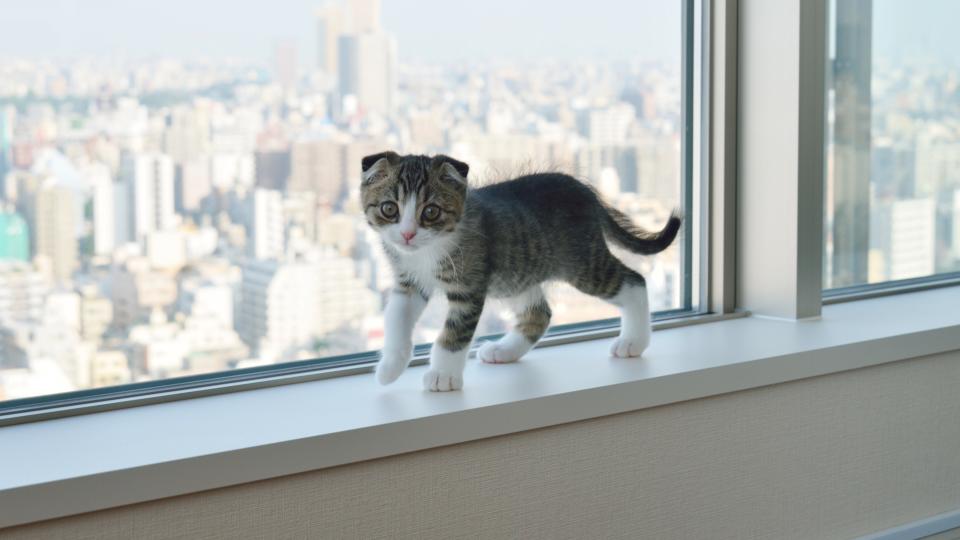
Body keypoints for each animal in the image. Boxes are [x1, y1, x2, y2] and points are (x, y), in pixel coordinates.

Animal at [360, 150, 684, 390]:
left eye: (430, 211)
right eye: (389, 209)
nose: (407, 234)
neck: (427, 252)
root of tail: (585, 191)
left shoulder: (469, 286)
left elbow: (454, 333)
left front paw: (443, 375)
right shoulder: (409, 282)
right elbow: (395, 319)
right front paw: (390, 366)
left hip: (583, 264)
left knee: (634, 280)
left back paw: (633, 341)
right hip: (516, 273)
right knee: (539, 313)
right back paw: (504, 351)